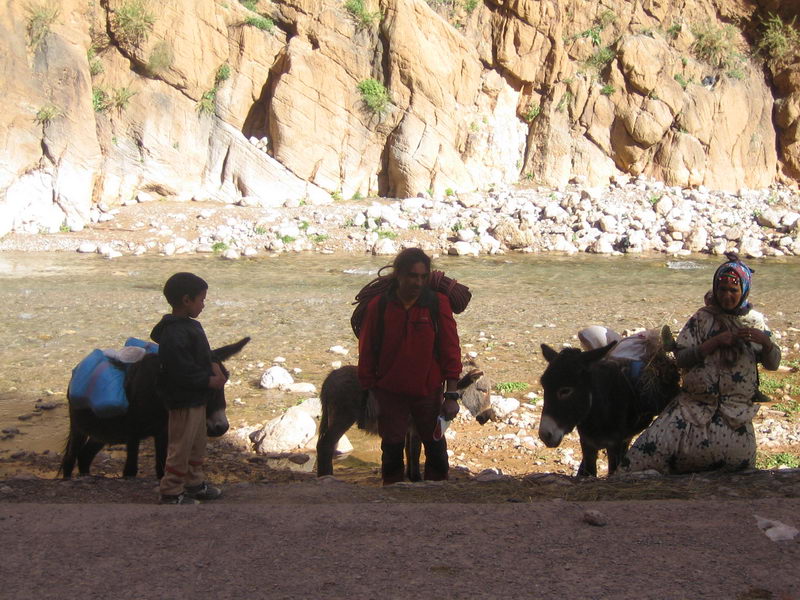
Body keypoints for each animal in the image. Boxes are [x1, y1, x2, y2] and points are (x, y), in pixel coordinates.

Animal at [59, 337, 249, 479]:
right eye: (197, 382)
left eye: (225, 379)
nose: (221, 427)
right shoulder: (133, 433)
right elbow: (130, 471)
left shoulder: (163, 432)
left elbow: (161, 468)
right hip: (79, 426)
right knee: (70, 458)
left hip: (104, 432)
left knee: (85, 456)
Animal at [316, 364, 495, 479]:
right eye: (482, 390)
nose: (488, 416)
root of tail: (329, 378)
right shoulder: (417, 425)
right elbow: (415, 451)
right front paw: (416, 478)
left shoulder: (409, 428)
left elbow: (409, 451)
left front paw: (409, 477)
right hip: (343, 418)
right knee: (325, 444)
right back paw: (327, 477)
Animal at [537, 338, 679, 477]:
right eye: (544, 386)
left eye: (565, 390)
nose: (545, 435)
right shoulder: (587, 444)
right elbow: (589, 473)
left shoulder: (614, 445)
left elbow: (612, 471)